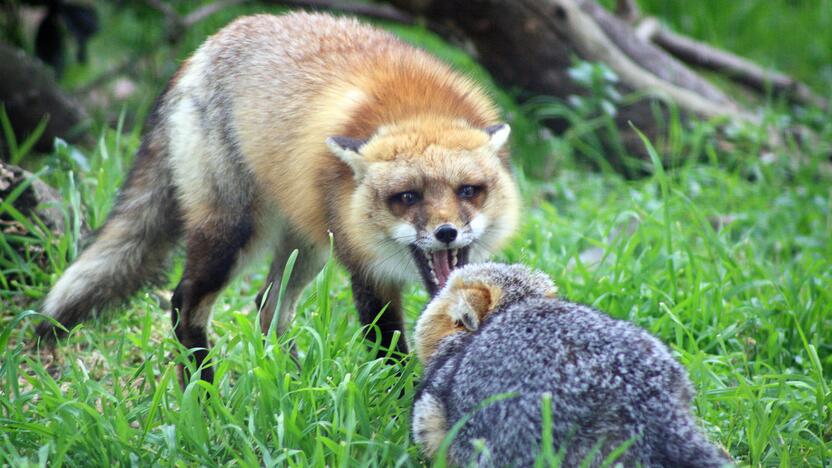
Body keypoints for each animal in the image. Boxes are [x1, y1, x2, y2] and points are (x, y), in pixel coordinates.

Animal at [40, 11, 520, 384]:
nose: (446, 232)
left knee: (268, 309)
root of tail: (203, 49)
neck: (415, 110)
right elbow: (389, 351)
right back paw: (204, 393)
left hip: (307, 246)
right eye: (407, 197)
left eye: (468, 191)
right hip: (233, 235)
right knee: (184, 303)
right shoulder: (365, 269)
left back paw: (294, 385)